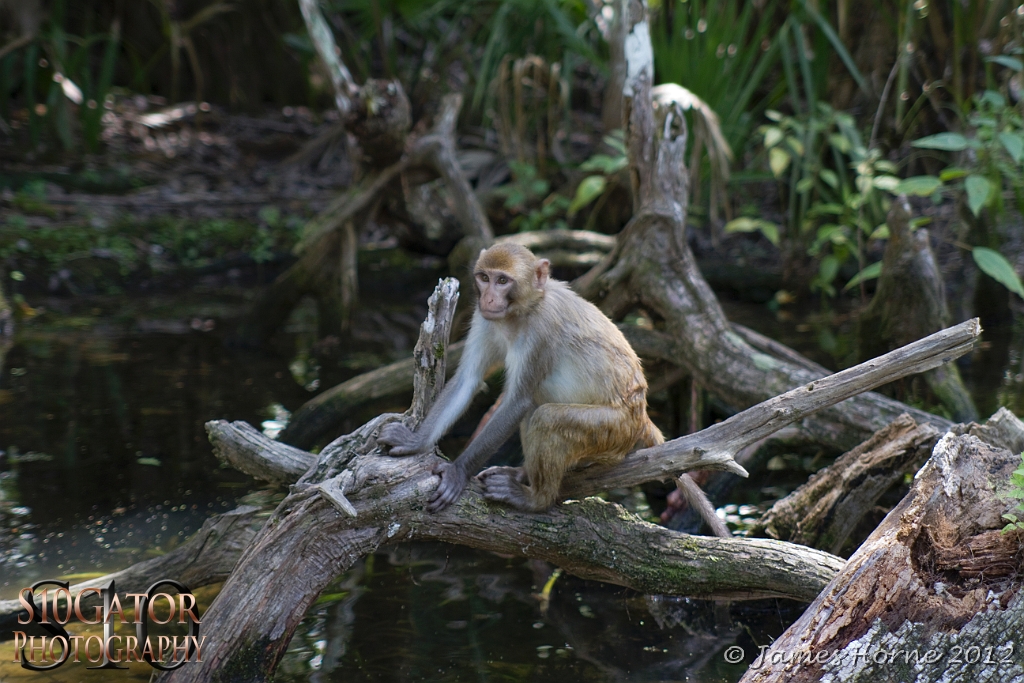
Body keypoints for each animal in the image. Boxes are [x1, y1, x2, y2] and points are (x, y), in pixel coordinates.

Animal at [378, 242, 729, 536]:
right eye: (484, 278)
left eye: (502, 281)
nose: (489, 297)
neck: (521, 312)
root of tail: (641, 416)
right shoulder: (485, 318)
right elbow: (468, 379)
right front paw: (415, 442)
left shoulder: (542, 329)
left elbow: (518, 401)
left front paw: (457, 472)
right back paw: (523, 474)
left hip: (613, 431)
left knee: (545, 416)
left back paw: (536, 498)